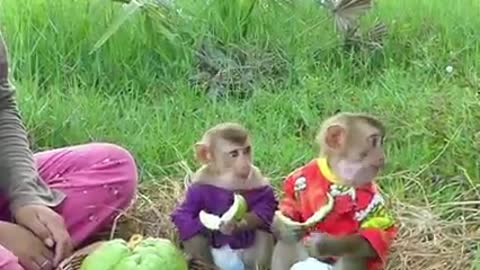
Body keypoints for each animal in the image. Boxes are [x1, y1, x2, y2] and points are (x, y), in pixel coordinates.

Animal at [172, 122, 278, 270]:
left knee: (261, 230)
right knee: (191, 231)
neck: (226, 175)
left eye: (246, 150)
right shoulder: (199, 180)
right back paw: (204, 264)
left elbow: (265, 206)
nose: (245, 164)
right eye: (234, 154)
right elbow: (184, 213)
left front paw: (235, 225)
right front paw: (208, 227)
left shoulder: (256, 176)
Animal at [270, 112, 398, 270]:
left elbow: (374, 234)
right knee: (288, 242)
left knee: (353, 256)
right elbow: (291, 202)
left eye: (380, 142)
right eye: (374, 141)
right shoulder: (300, 175)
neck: (338, 177)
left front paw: (323, 244)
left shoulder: (371, 197)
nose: (382, 156)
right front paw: (284, 227)